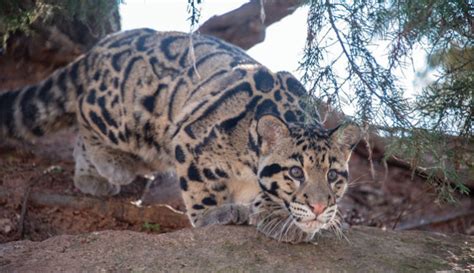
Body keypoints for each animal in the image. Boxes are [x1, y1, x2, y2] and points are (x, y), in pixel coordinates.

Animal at [0, 28, 360, 240]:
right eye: (296, 172)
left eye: (333, 176)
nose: (319, 208)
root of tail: (102, 44)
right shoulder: (189, 140)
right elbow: (200, 190)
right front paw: (214, 214)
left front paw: (274, 215)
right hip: (125, 116)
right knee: (84, 118)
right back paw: (109, 167)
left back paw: (91, 174)